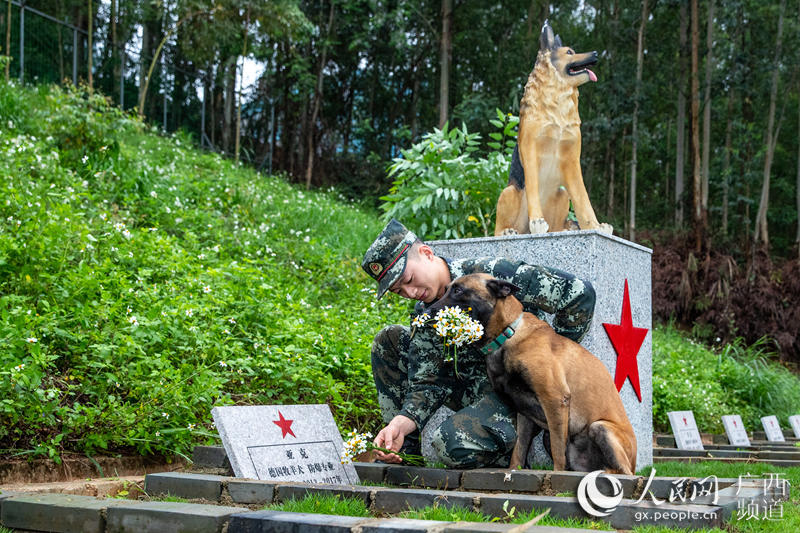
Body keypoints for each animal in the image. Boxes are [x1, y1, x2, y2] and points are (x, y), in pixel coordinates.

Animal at [428, 274, 636, 474]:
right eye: (446, 289)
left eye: (458, 290)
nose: (428, 312)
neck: (508, 334)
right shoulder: (524, 413)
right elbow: (518, 450)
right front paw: (513, 471)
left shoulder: (554, 399)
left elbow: (558, 451)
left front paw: (556, 474)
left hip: (600, 427)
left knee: (623, 471)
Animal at [494, 22, 612, 235]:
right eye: (569, 52)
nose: (596, 53)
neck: (558, 107)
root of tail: (523, 231)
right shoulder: (530, 150)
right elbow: (533, 188)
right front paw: (537, 221)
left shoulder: (572, 160)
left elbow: (583, 199)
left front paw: (596, 226)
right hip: (509, 193)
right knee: (497, 228)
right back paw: (509, 231)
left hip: (562, 195)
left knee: (557, 224)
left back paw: (563, 230)